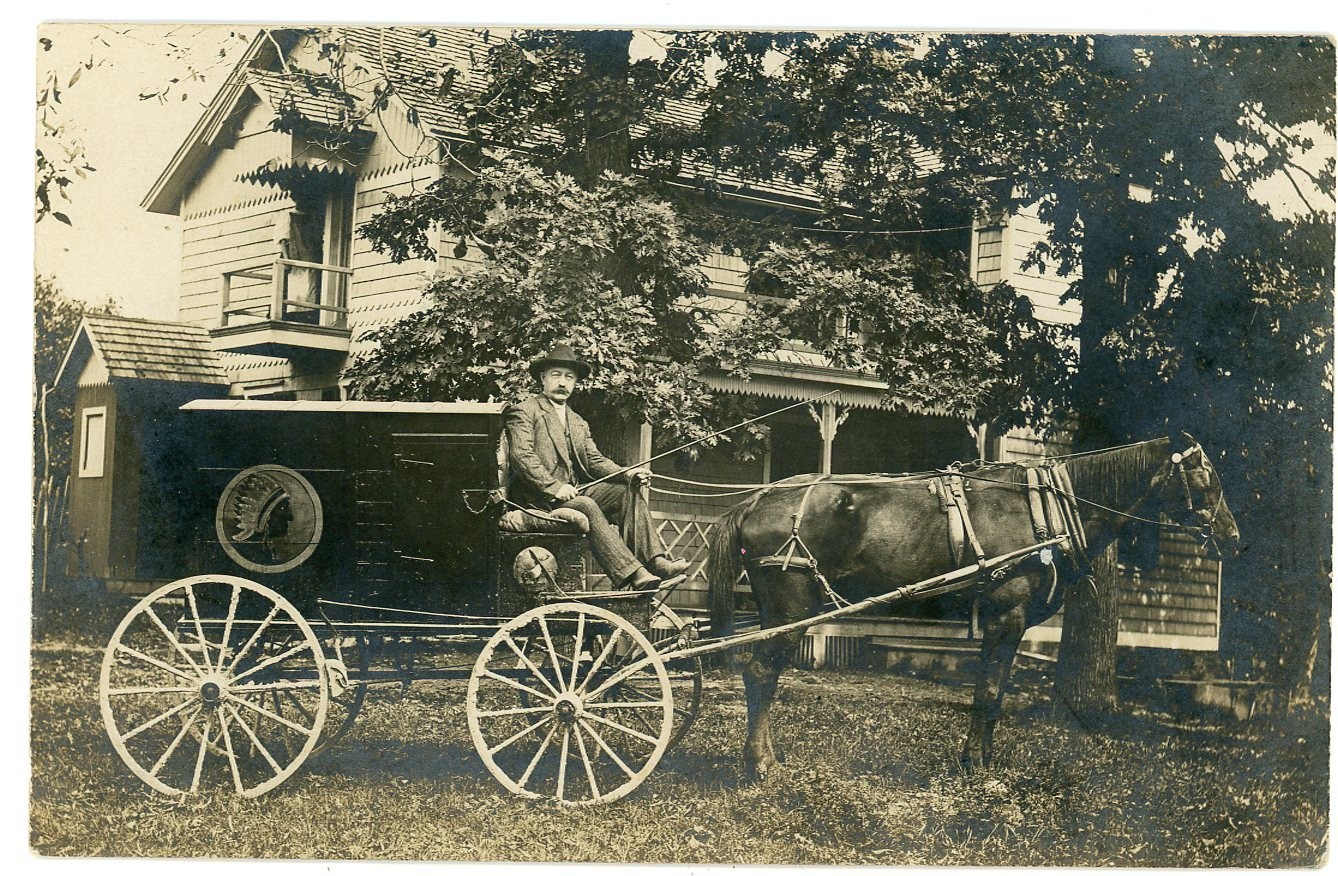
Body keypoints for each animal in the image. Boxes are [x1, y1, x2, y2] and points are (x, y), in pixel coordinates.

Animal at [706, 433, 1239, 779]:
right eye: (1205, 476)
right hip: (793, 610)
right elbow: (988, 693)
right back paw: (761, 766)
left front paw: (978, 761)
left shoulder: (1005, 622)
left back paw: (766, 758)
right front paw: (976, 770)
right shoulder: (1007, 615)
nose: (1232, 535)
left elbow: (993, 694)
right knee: (760, 672)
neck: (1043, 511)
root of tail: (755, 500)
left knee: (762, 675)